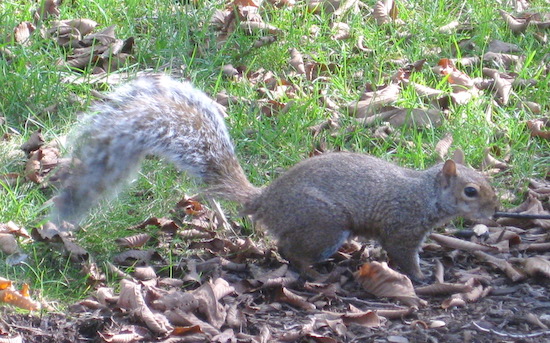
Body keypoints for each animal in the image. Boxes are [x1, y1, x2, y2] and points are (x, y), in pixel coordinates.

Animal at [51, 74, 500, 280]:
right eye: (470, 191)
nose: (496, 213)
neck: (425, 194)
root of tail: (263, 201)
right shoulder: (403, 228)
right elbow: (404, 256)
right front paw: (420, 279)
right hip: (324, 224)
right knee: (289, 250)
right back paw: (315, 272)